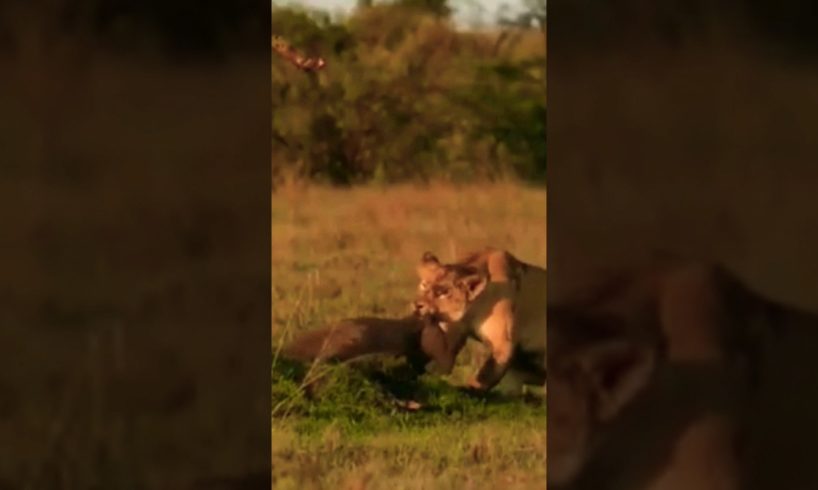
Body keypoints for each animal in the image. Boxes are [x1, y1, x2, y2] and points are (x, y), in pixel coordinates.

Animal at [412, 247, 547, 391]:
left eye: (443, 292)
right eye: (424, 285)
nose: (417, 305)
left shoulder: (504, 343)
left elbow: (484, 375)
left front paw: (469, 390)